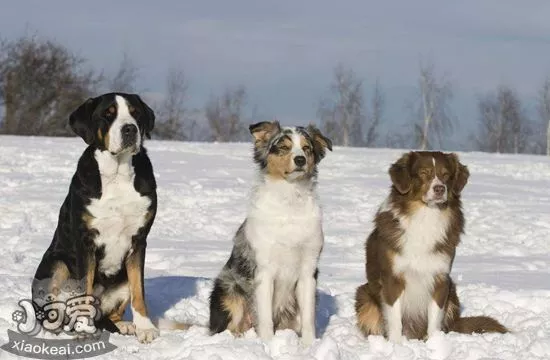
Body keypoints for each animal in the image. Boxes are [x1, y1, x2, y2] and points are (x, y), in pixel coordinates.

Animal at [32, 92, 158, 344]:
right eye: (108, 114)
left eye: (135, 113)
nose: (129, 129)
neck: (118, 174)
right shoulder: (85, 241)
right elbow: (85, 290)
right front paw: (83, 329)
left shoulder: (138, 241)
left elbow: (139, 290)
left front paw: (145, 328)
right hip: (56, 265)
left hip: (121, 281)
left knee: (114, 311)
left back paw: (125, 325)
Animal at [358, 150, 508, 342]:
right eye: (424, 173)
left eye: (446, 175)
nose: (439, 189)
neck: (425, 216)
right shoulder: (392, 278)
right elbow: (395, 319)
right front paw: (396, 344)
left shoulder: (441, 278)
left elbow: (435, 317)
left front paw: (434, 343)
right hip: (364, 295)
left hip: (452, 292)